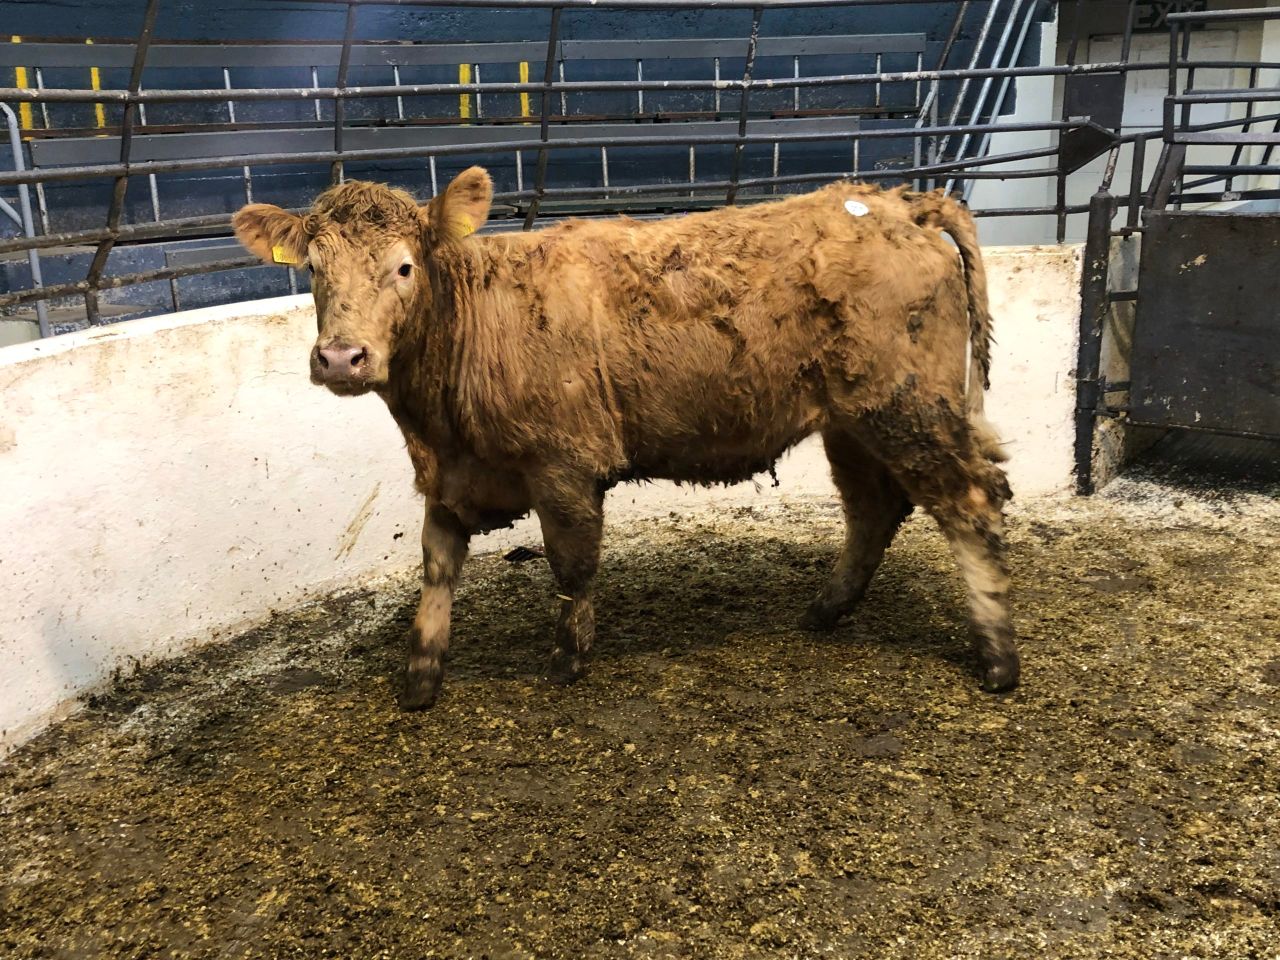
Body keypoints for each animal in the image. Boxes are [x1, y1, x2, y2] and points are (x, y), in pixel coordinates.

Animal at [233, 167, 1020, 710]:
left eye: (403, 267)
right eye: (313, 272)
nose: (341, 357)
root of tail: (892, 201)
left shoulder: (562, 464)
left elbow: (572, 563)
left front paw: (568, 660)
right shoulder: (453, 475)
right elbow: (437, 565)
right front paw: (420, 674)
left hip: (907, 406)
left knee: (971, 501)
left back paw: (998, 659)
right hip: (850, 420)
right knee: (873, 510)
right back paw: (825, 610)